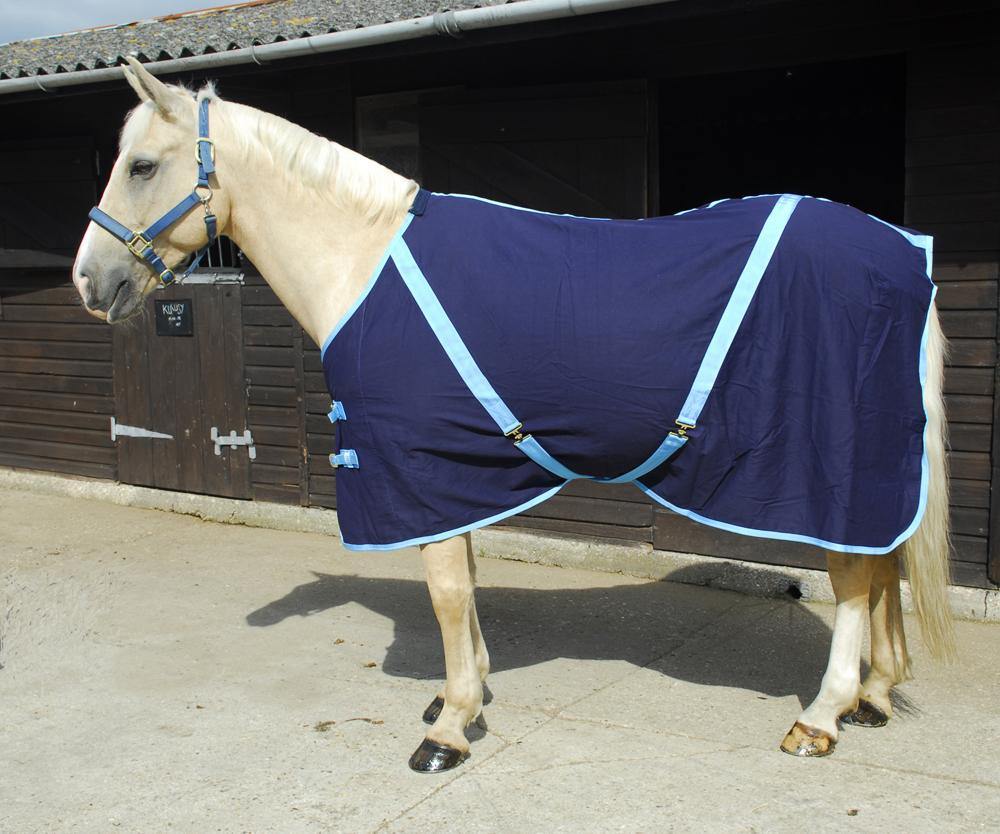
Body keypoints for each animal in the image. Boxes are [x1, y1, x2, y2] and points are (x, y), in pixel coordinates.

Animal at [72, 57, 955, 773]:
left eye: (142, 165)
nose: (90, 280)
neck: (364, 261)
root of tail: (905, 251)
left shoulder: (418, 465)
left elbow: (445, 591)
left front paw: (448, 729)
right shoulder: (455, 468)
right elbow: (463, 579)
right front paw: (461, 695)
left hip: (831, 463)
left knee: (853, 577)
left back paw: (822, 716)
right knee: (882, 564)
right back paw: (875, 696)